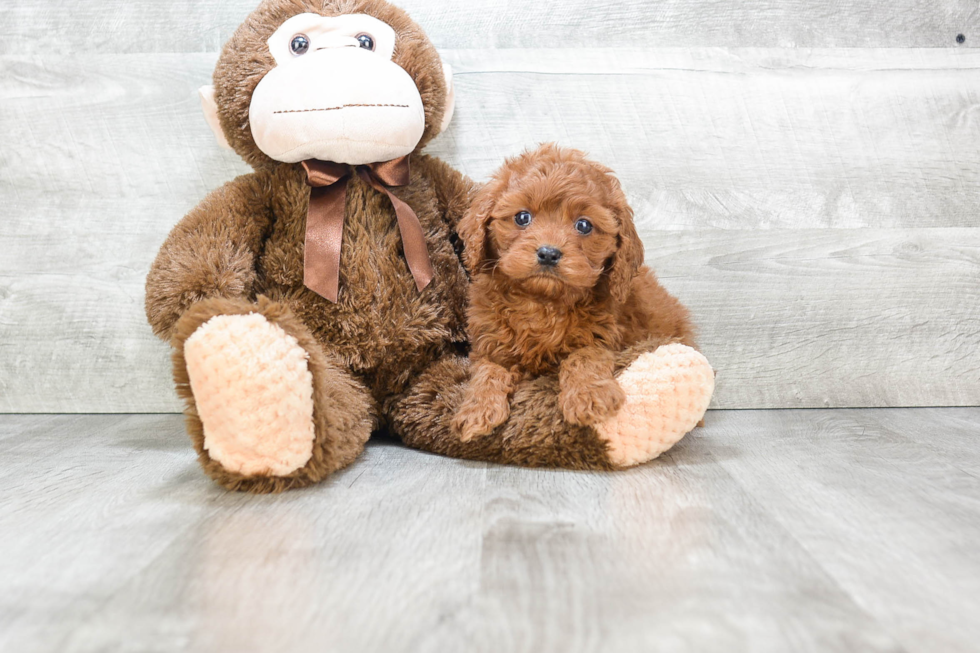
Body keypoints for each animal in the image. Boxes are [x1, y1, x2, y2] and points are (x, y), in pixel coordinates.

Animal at [454, 142, 692, 438]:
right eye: (522, 217)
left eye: (584, 225)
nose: (548, 253)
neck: (542, 302)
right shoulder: (490, 344)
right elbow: (488, 370)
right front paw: (477, 409)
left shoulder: (602, 335)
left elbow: (584, 357)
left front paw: (588, 397)